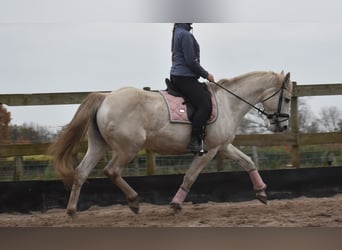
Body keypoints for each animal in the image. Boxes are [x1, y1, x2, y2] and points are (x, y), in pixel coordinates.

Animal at [49, 70, 292, 217]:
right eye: (288, 99)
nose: (283, 127)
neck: (229, 103)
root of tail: (105, 98)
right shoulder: (208, 150)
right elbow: (190, 177)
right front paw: (176, 204)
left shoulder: (222, 147)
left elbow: (248, 162)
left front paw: (261, 193)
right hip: (128, 148)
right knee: (112, 171)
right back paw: (134, 201)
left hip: (98, 146)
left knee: (81, 173)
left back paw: (72, 211)